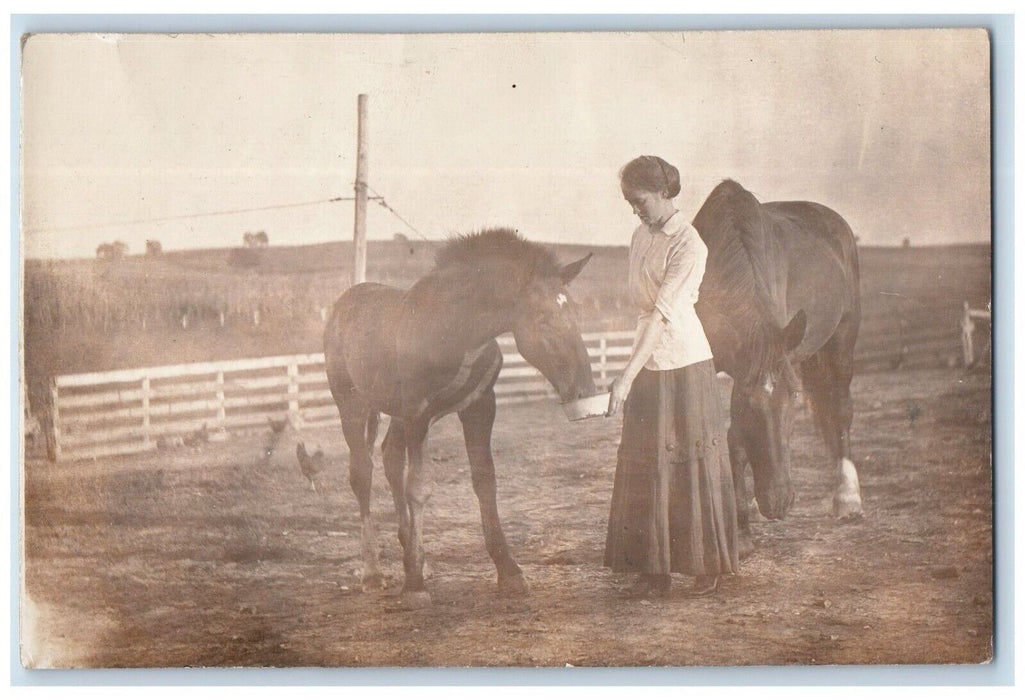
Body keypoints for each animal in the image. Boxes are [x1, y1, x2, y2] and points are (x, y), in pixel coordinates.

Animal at [319, 228, 594, 606]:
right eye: (542, 319)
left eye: (577, 314)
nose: (584, 389)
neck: (455, 331)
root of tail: (343, 304)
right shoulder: (418, 414)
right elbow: (418, 487)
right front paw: (414, 585)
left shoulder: (479, 407)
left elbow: (484, 480)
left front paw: (509, 571)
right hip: (352, 406)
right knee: (362, 474)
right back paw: (374, 572)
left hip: (396, 416)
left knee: (390, 459)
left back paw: (414, 556)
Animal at [692, 182, 861, 557]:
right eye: (746, 403)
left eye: (794, 398)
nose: (779, 501)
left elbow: (734, 440)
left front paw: (740, 531)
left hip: (842, 339)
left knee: (841, 412)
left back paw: (848, 498)